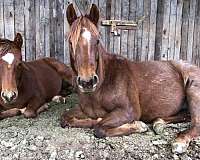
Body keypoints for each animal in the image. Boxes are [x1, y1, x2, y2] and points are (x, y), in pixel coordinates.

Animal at [61, 3, 200, 154]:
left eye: (97, 41)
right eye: (70, 42)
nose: (87, 82)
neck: (102, 85)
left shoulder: (129, 111)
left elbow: (99, 128)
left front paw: (138, 126)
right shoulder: (83, 110)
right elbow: (65, 118)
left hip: (193, 90)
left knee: (196, 124)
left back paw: (179, 142)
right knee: (185, 115)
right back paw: (158, 123)